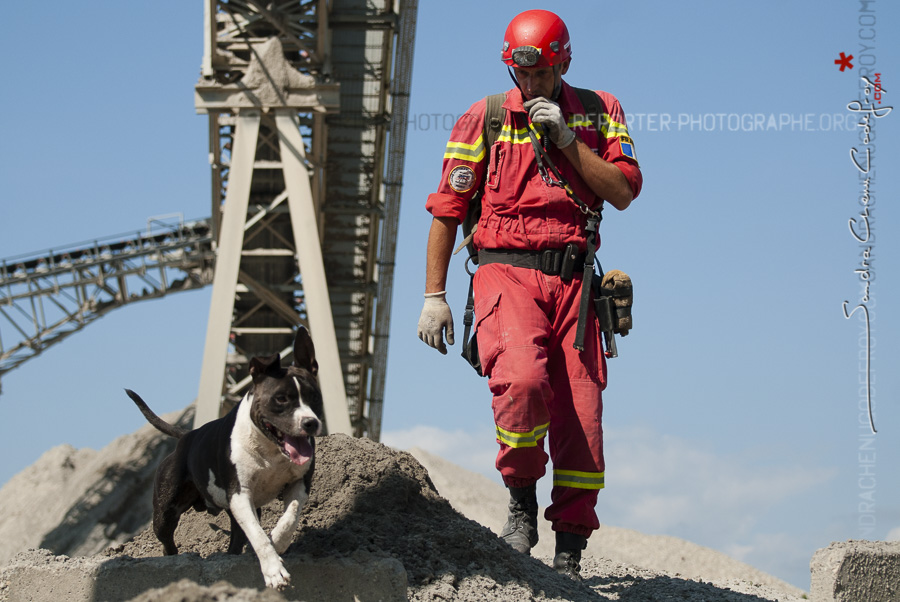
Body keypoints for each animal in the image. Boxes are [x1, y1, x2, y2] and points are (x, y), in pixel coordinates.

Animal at [126, 324, 324, 584]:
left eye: (314, 397)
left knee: (238, 537)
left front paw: (278, 542)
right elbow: (258, 536)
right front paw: (273, 571)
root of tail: (188, 436)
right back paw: (173, 558)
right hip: (165, 511)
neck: (269, 449)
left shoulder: (298, 484)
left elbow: (289, 517)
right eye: (281, 398)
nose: (311, 423)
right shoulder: (240, 495)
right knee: (167, 540)